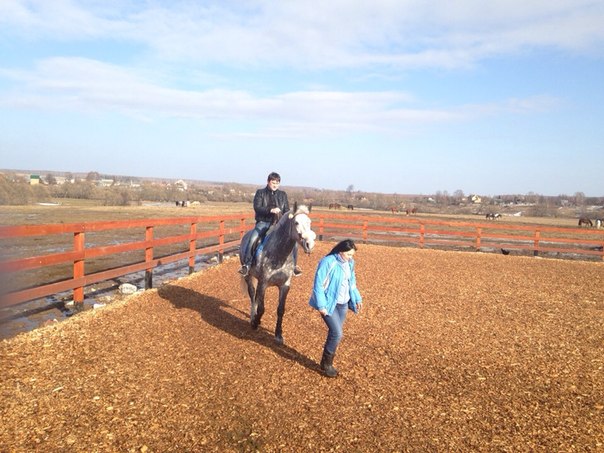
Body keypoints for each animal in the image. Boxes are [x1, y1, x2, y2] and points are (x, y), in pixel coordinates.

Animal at [239, 204, 316, 344]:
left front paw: (278, 335)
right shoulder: (263, 283)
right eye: (296, 222)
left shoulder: (284, 286)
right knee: (252, 295)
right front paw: (255, 323)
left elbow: (280, 310)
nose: (310, 244)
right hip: (248, 276)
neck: (278, 253)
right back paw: (253, 317)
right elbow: (262, 308)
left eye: (309, 222)